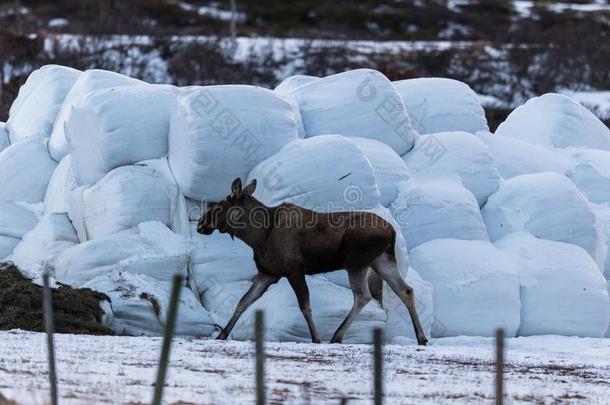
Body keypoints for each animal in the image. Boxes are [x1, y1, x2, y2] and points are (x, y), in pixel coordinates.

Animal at [197, 178, 426, 344]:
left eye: (220, 205)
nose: (200, 223)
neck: (257, 236)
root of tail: (392, 232)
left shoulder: (294, 270)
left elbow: (305, 306)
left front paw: (315, 338)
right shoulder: (267, 273)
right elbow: (243, 301)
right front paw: (222, 334)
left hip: (355, 262)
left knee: (362, 296)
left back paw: (336, 336)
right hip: (381, 261)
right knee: (405, 290)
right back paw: (421, 337)